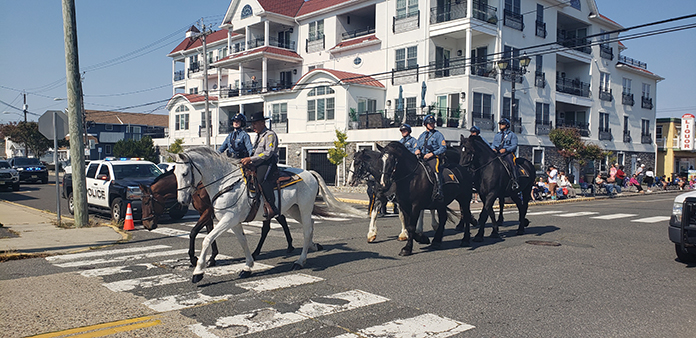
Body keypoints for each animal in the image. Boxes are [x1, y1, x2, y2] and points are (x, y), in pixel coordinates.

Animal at [139, 170, 294, 266]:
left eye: (146, 202)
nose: (147, 224)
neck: (200, 188)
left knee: (274, 224)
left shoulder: (207, 212)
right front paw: (212, 258)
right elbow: (209, 232)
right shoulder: (206, 213)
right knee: (275, 223)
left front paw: (194, 258)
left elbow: (193, 232)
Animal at [174, 147, 358, 282]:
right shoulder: (234, 222)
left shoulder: (228, 219)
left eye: (185, 173)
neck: (225, 183)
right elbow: (243, 242)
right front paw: (247, 267)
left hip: (304, 208)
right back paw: (312, 247)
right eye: (174, 173)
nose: (182, 200)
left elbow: (206, 239)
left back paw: (299, 261)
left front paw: (198, 271)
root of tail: (309, 173)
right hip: (293, 209)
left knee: (306, 230)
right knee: (310, 227)